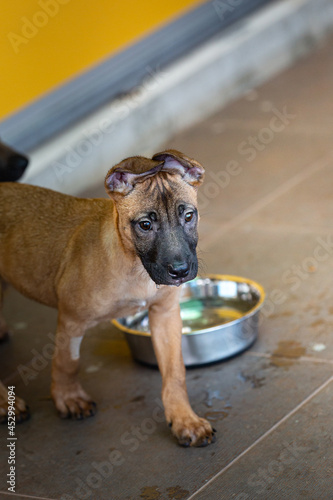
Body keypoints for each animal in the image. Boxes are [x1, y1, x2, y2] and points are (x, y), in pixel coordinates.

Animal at [0, 150, 215, 448]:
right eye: (145, 225)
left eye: (189, 215)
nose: (181, 271)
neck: (134, 267)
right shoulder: (71, 319)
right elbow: (67, 362)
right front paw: (68, 398)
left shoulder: (165, 313)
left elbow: (175, 374)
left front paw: (185, 420)